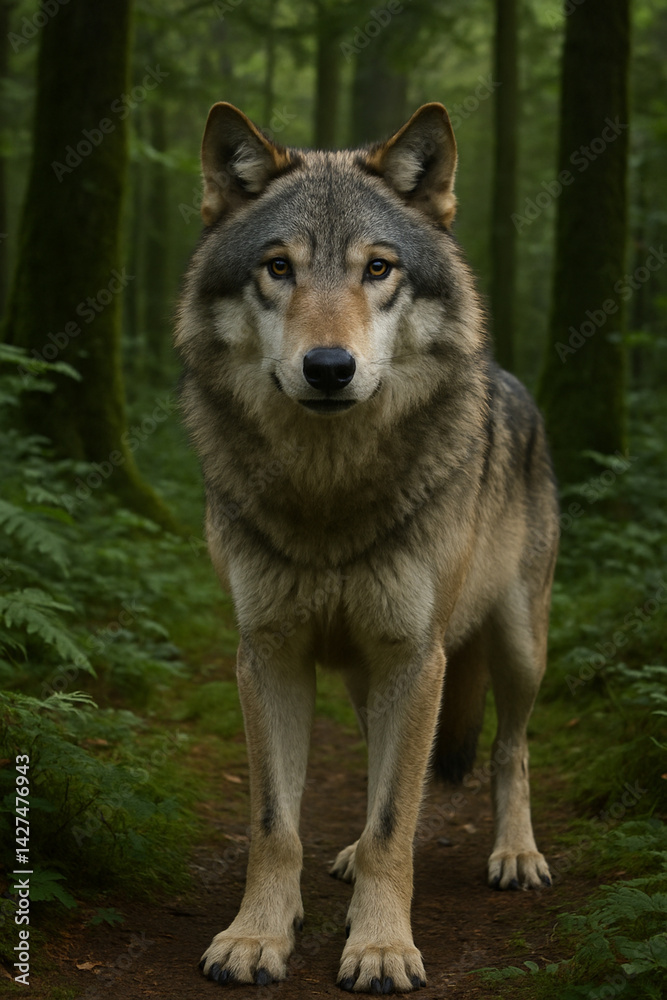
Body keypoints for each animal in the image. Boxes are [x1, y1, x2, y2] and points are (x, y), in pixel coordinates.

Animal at [175, 101, 559, 993]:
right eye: (278, 268)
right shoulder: (268, 654)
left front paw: (381, 947)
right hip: (365, 675)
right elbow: (277, 823)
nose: (327, 367)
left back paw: (515, 854)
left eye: (378, 268)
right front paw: (255, 935)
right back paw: (347, 856)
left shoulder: (415, 657)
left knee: (510, 748)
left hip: (514, 648)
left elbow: (396, 820)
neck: (328, 494)